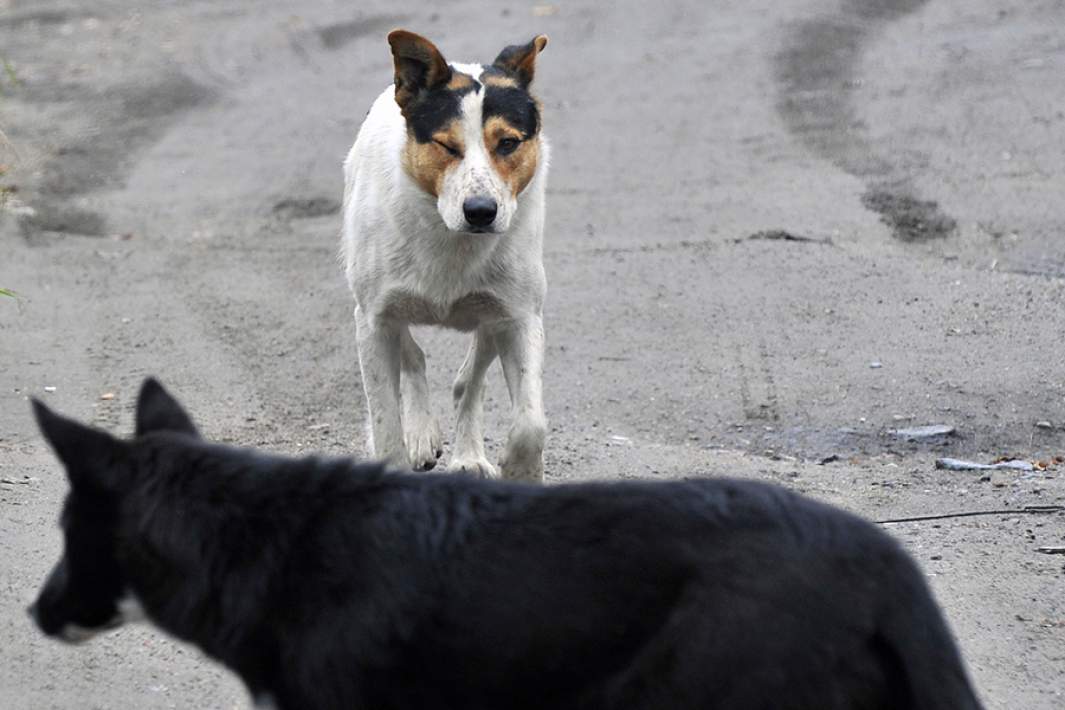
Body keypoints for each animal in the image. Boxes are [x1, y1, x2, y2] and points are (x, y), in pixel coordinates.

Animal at [340, 29, 553, 483]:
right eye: (445, 145)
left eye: (508, 143)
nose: (480, 211)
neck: (451, 236)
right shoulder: (373, 320)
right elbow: (385, 420)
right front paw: (402, 449)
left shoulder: (520, 316)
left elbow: (530, 422)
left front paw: (520, 470)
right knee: (414, 358)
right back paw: (422, 434)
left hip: (492, 314)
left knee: (468, 382)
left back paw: (469, 454)